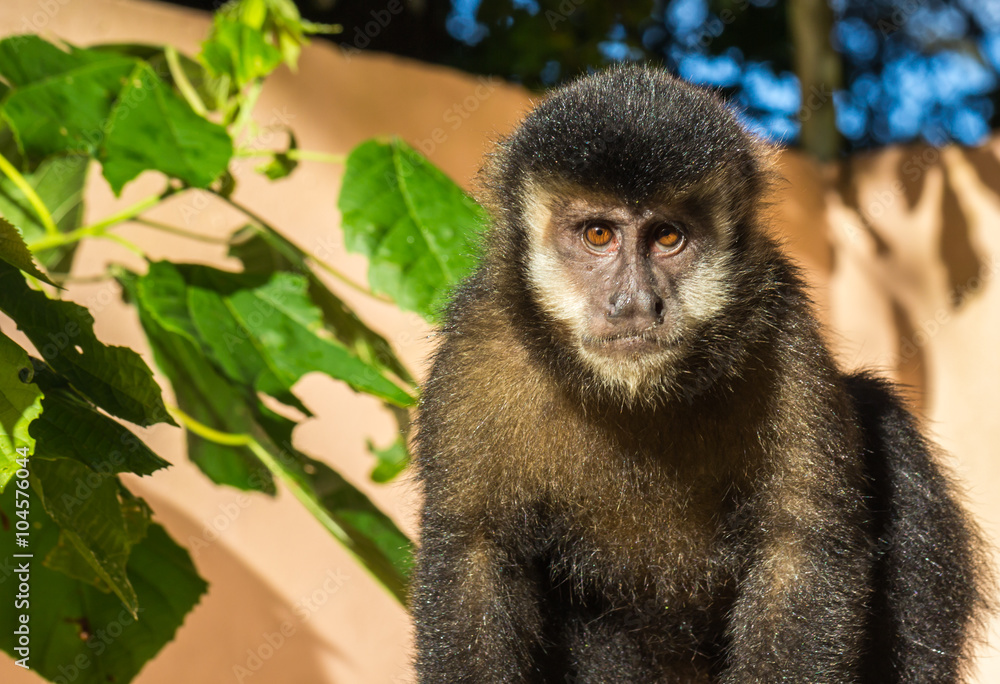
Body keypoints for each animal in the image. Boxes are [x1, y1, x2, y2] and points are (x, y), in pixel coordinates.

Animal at [410, 65, 988, 684]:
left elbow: (799, 548)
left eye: (667, 237)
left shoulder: (780, 326)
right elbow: (472, 553)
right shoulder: (479, 341)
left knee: (884, 422)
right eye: (598, 235)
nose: (634, 304)